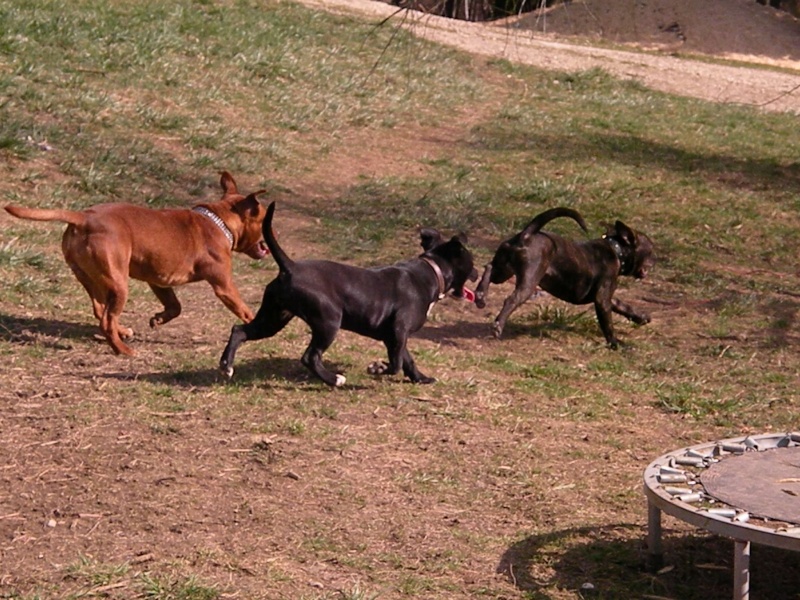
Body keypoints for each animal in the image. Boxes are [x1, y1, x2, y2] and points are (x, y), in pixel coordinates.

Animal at [4, 171, 270, 354]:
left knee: (101, 311)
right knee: (107, 320)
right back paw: (123, 350)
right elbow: (245, 310)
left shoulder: (160, 281)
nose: (269, 242)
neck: (219, 222)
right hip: (118, 282)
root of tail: (83, 217)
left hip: (93, 279)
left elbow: (175, 306)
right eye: (264, 219)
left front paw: (158, 319)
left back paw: (122, 333)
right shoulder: (224, 286)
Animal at [219, 204, 476, 386]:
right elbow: (396, 363)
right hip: (329, 321)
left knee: (239, 330)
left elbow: (406, 359)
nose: (476, 273)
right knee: (310, 357)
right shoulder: (398, 330)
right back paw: (334, 380)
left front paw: (420, 378)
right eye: (472, 262)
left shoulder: (395, 337)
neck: (431, 271)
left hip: (273, 318)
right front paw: (377, 368)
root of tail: (290, 266)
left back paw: (226, 365)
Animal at [472, 207, 652, 346]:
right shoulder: (602, 299)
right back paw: (498, 325)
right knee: (511, 300)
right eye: (651, 248)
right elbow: (607, 323)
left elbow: (622, 305)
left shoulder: (607, 298)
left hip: (504, 269)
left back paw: (481, 295)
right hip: (529, 281)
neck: (616, 249)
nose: (656, 256)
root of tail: (527, 234)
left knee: (489, 268)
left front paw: (640, 317)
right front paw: (615, 343)